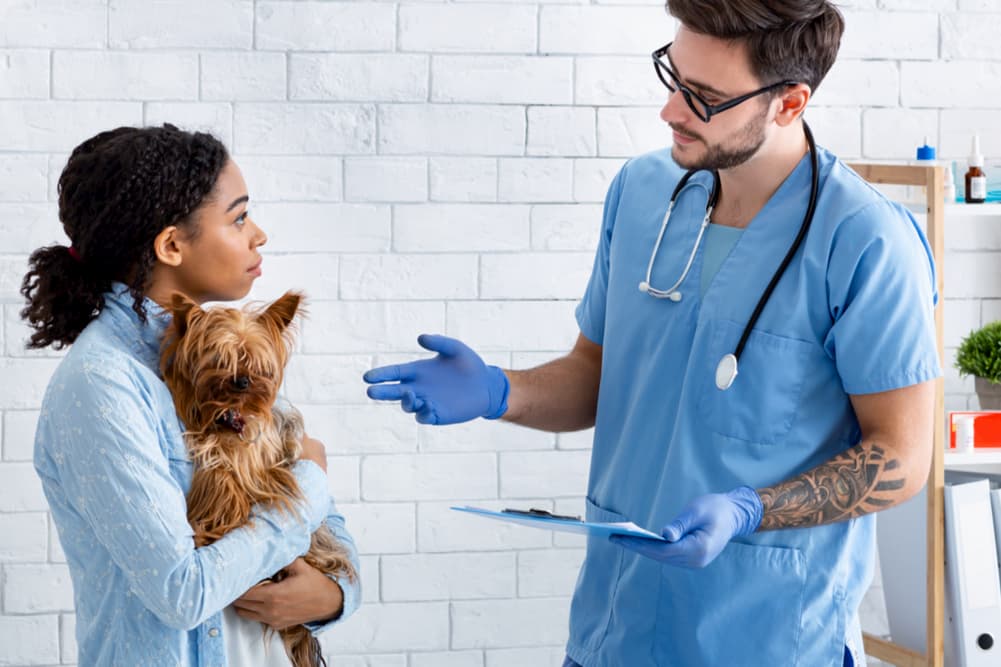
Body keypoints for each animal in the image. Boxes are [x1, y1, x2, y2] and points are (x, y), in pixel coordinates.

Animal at [160, 290, 356, 664]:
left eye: (256, 361)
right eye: (219, 358)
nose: (242, 381)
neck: (229, 417)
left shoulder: (264, 459)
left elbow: (247, 476)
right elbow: (222, 473)